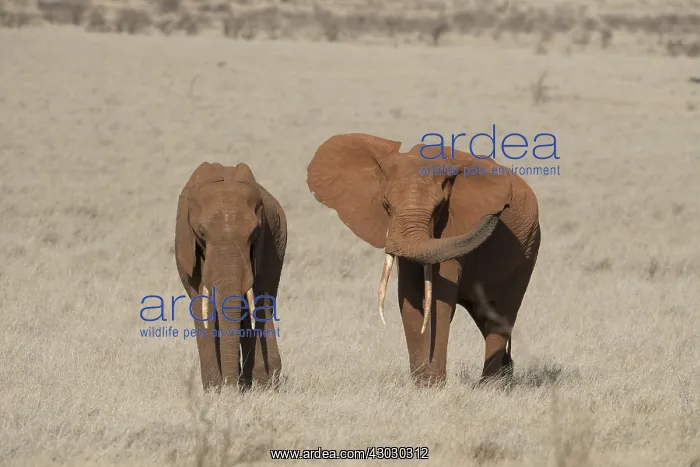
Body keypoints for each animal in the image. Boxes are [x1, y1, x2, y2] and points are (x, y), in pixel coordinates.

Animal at [175, 162, 287, 391]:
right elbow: (202, 305)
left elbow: (256, 302)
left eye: (254, 234)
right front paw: (215, 390)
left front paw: (258, 386)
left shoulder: (264, 244)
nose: (231, 389)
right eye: (201, 233)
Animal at [306, 133, 541, 387]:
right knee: (485, 314)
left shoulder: (452, 228)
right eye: (386, 205)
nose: (501, 209)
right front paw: (423, 385)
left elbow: (437, 299)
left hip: (528, 246)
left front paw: (432, 386)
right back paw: (505, 376)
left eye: (439, 207)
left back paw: (490, 385)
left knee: (499, 316)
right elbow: (410, 296)